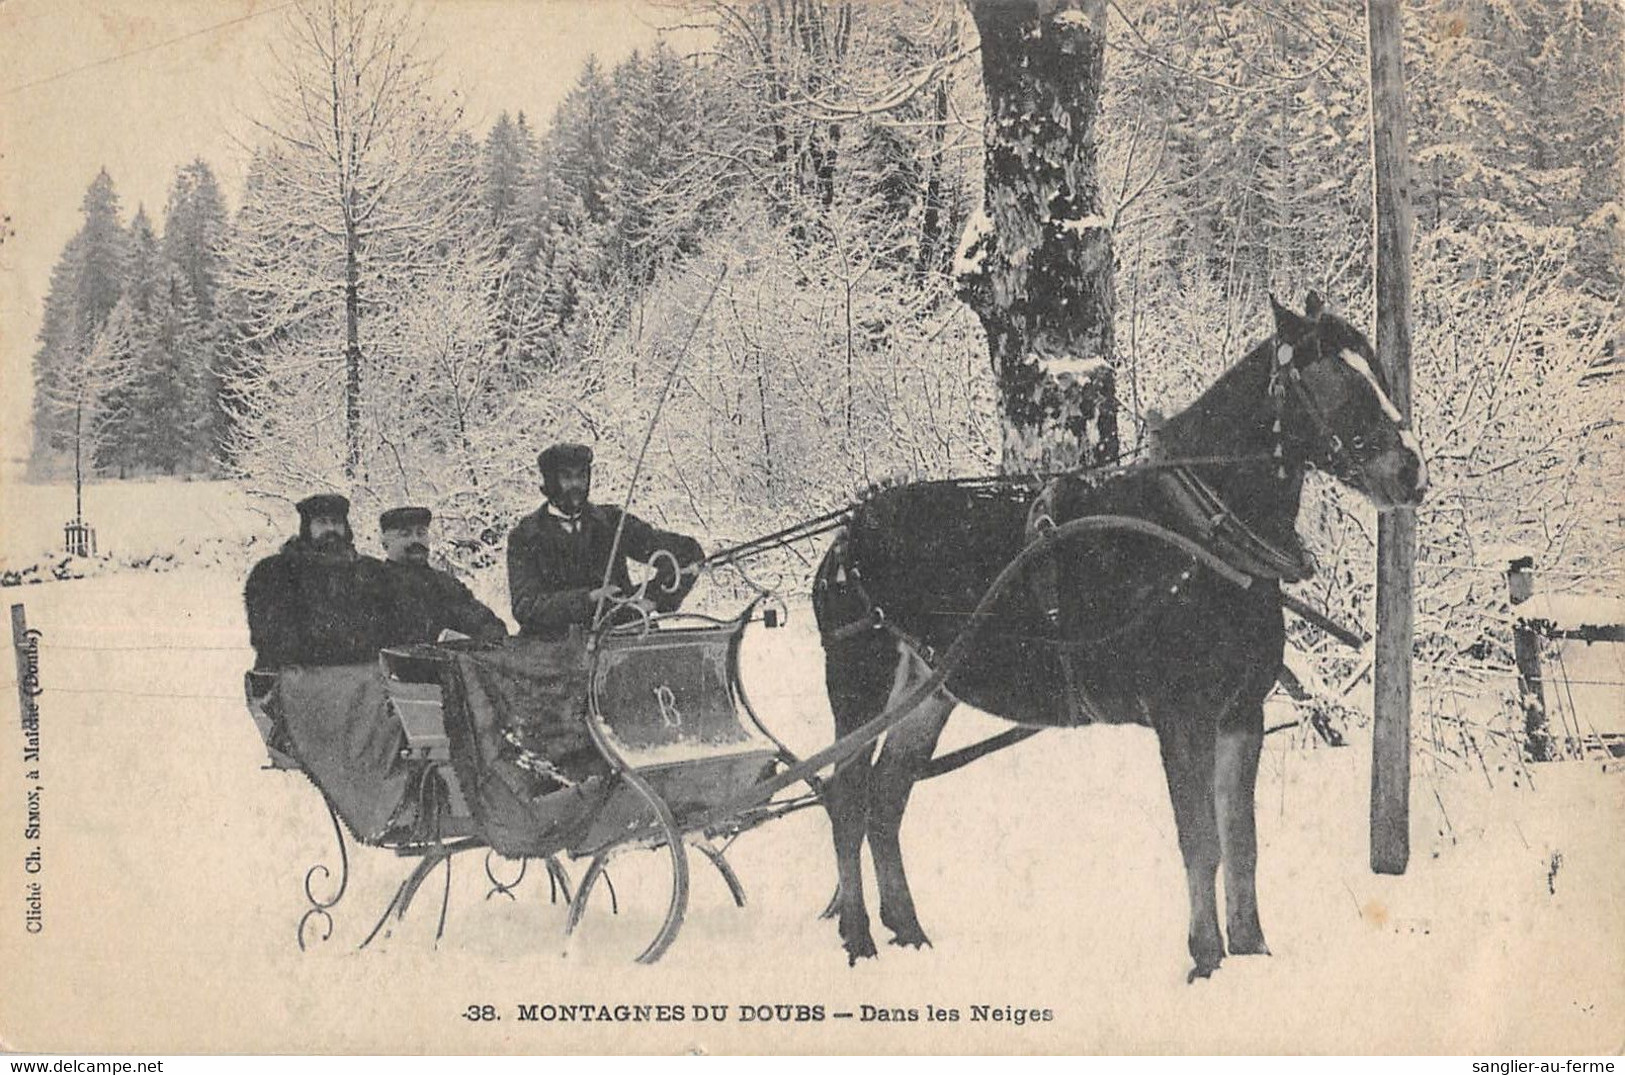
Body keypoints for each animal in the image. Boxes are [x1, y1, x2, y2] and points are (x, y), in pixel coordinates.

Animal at [809, 290, 1423, 980]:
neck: (1201, 537)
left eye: (1377, 368)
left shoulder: (1242, 714)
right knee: (848, 798)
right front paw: (1206, 960)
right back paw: (858, 936)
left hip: (929, 693)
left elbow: (1242, 842)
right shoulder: (1182, 717)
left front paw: (1253, 950)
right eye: (1333, 379)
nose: (1410, 473)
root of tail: (847, 536)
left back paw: (908, 929)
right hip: (861, 685)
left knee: (886, 800)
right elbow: (1201, 841)